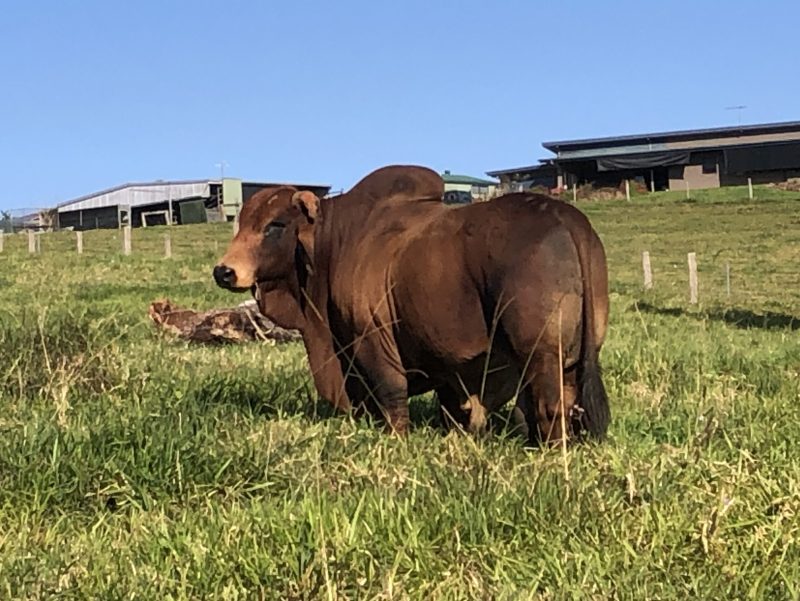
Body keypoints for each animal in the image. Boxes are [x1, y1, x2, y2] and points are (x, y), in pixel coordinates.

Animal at [216, 164, 608, 446]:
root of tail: (563, 216)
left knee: (549, 405)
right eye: (241, 222)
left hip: (540, 353)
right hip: (574, 354)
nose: (224, 271)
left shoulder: (371, 337)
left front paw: (397, 438)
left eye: (275, 225)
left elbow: (391, 389)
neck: (336, 242)